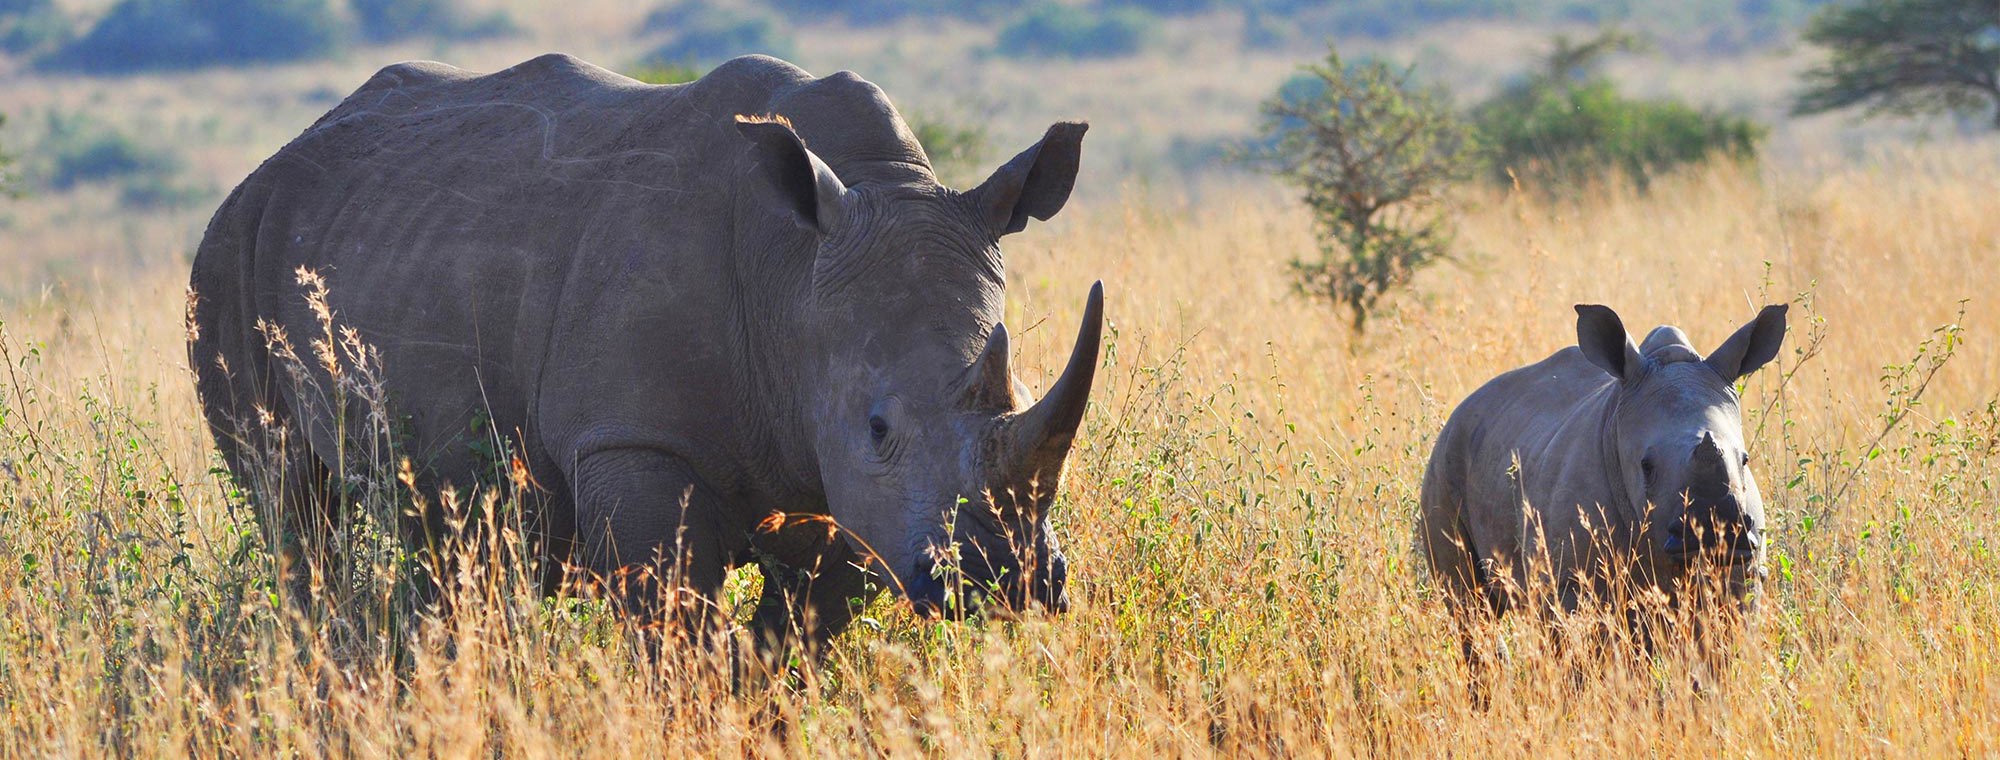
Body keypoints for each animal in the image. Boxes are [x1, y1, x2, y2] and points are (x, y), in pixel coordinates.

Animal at [187, 53, 1103, 650]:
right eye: (878, 427)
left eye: (1020, 392)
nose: (1008, 579)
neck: (793, 276)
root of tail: (269, 165)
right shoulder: (636, 439)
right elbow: (674, 633)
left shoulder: (840, 480)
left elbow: (789, 646)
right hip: (227, 256)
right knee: (293, 513)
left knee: (441, 549)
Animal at [1418, 303, 1788, 621]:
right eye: (1646, 466)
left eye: (1745, 460)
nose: (1712, 534)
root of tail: (1463, 407)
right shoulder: (1572, 580)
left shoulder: (1745, 568)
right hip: (1446, 456)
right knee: (1469, 605)